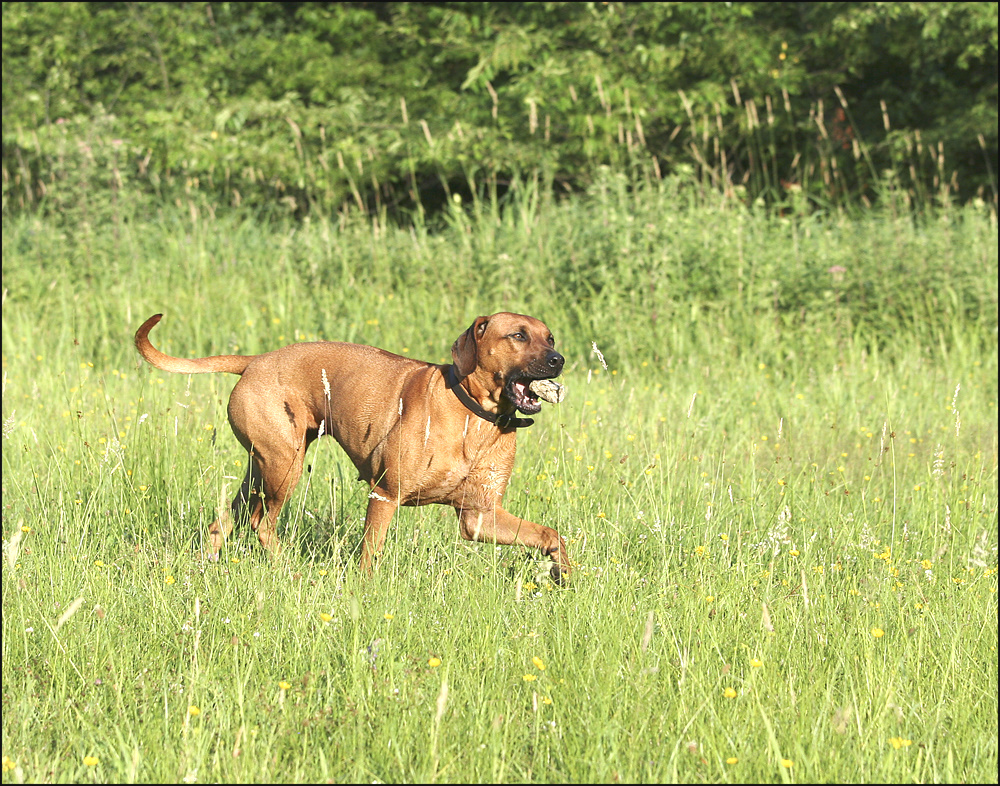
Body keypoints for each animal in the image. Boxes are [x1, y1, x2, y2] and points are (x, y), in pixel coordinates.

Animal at [135, 310, 572, 576]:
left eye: (550, 337)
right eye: (518, 336)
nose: (558, 359)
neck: (476, 417)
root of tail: (254, 360)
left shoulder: (479, 517)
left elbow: (551, 534)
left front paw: (563, 572)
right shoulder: (385, 495)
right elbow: (370, 554)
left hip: (260, 472)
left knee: (225, 521)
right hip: (284, 467)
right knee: (262, 525)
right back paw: (288, 570)